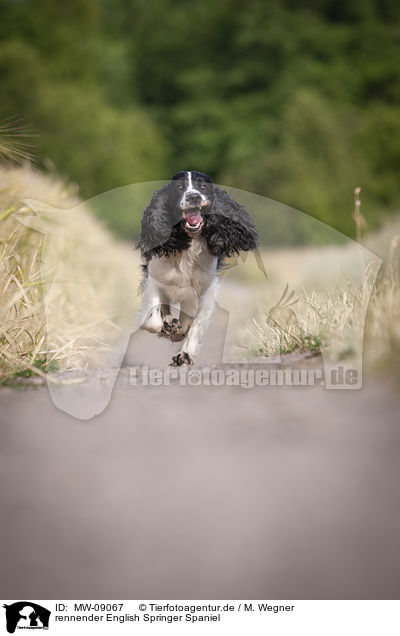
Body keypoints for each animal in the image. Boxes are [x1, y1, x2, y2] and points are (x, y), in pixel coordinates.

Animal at [138, 171, 256, 366]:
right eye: (179, 187)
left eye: (203, 187)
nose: (194, 197)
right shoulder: (154, 278)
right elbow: (153, 319)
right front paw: (166, 327)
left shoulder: (207, 289)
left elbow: (197, 323)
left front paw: (185, 353)